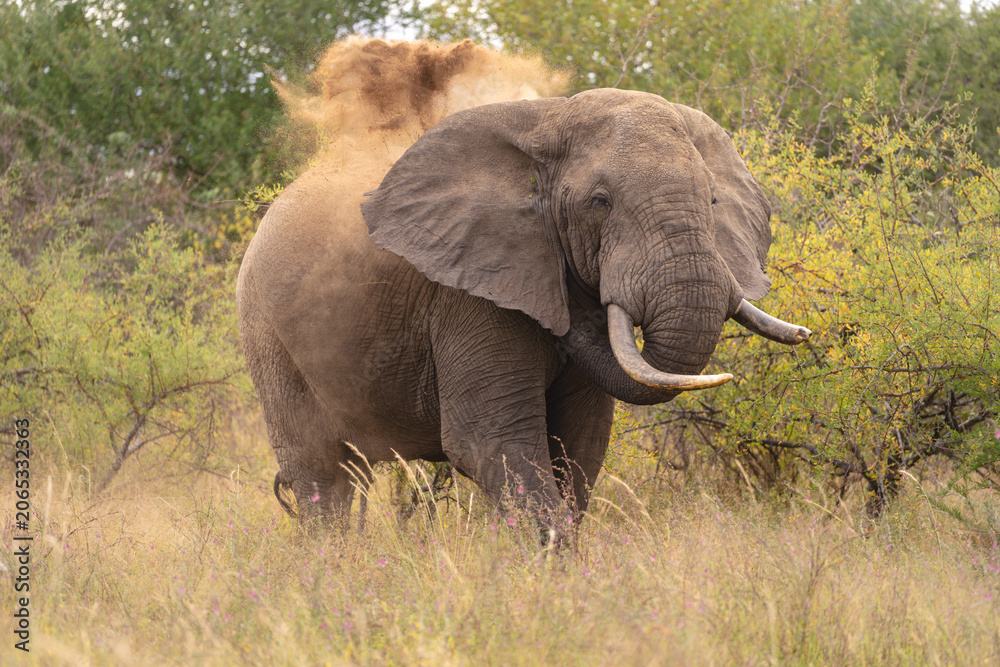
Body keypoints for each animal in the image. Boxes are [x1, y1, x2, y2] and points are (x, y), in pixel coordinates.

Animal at [236, 87, 810, 539]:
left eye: (712, 202)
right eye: (599, 202)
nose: (574, 317)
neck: (549, 121)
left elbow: (578, 443)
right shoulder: (468, 292)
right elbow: (491, 440)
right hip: (265, 332)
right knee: (322, 475)